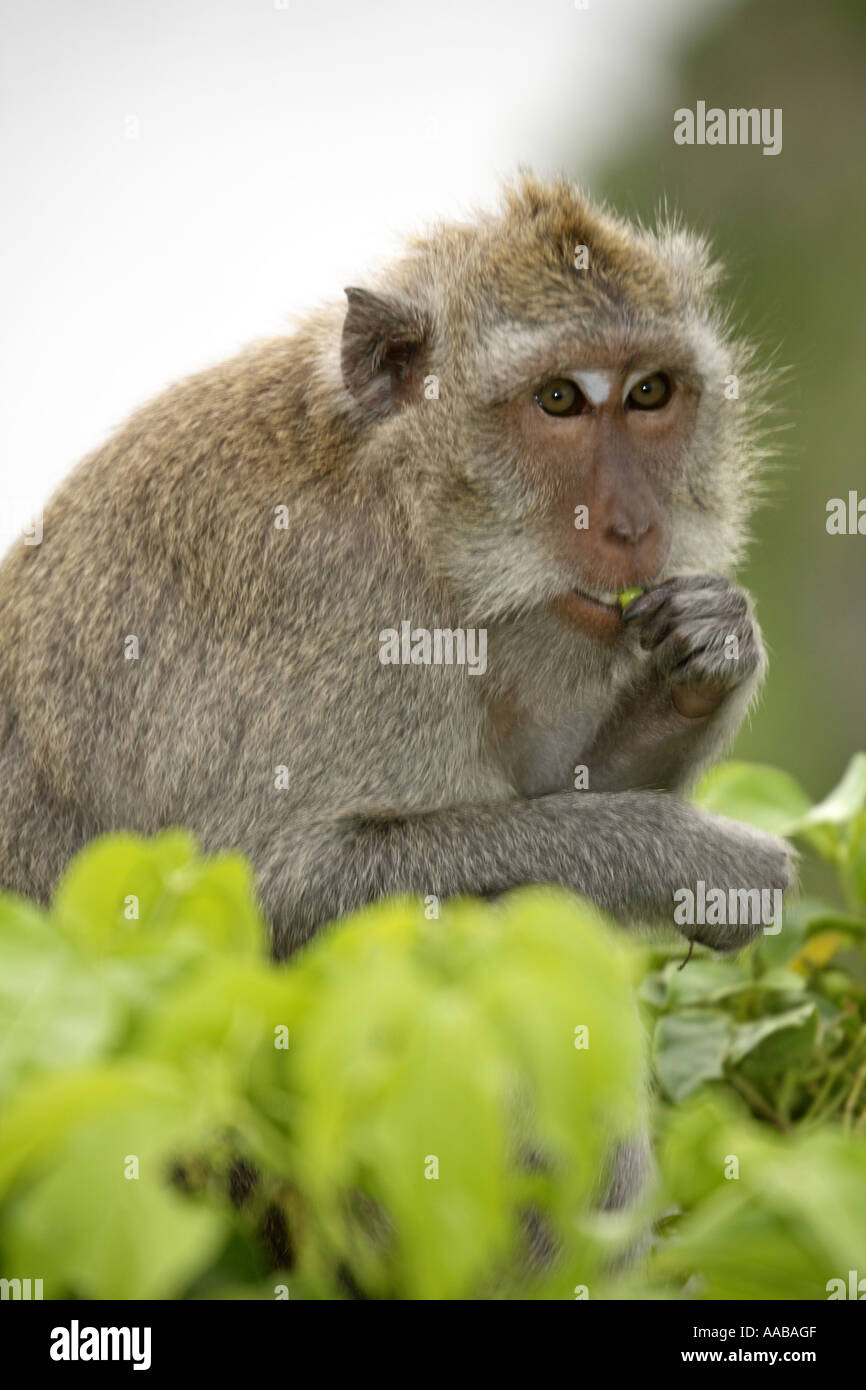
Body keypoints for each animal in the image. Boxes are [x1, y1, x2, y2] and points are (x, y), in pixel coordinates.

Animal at [0, 176, 795, 1228]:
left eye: (649, 393)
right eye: (558, 400)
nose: (635, 525)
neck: (412, 512)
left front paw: (708, 652)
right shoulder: (339, 611)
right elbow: (279, 894)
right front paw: (689, 854)